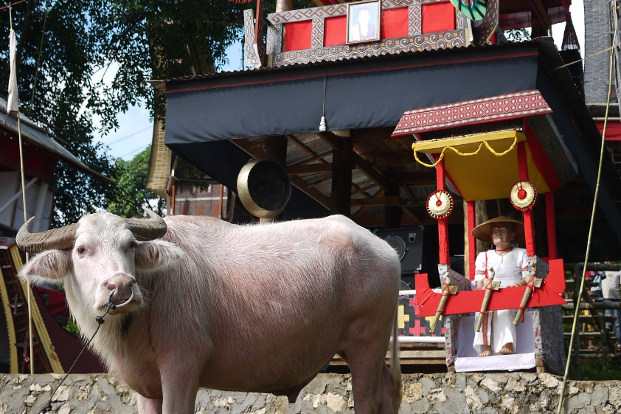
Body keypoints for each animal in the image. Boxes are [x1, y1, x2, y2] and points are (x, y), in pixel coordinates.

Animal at [17, 212, 402, 412]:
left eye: (130, 245)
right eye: (81, 249)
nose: (122, 287)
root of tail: (385, 249)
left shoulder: (182, 367)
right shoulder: (146, 388)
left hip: (366, 343)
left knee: (368, 399)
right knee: (388, 392)